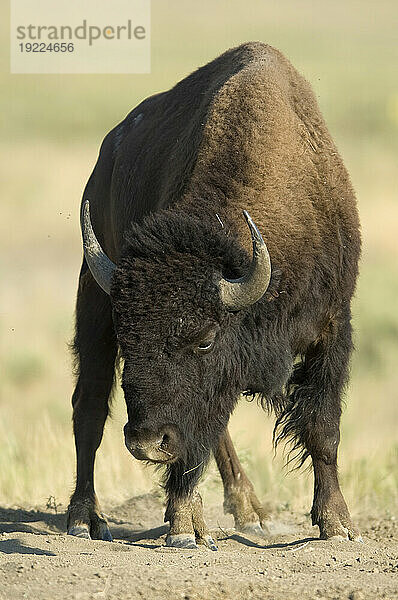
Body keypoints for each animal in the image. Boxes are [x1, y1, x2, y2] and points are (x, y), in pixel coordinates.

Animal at [67, 42, 360, 548]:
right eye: (131, 338)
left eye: (205, 339)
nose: (146, 443)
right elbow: (188, 444)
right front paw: (184, 527)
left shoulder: (331, 326)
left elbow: (323, 430)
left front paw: (337, 524)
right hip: (94, 300)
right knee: (89, 407)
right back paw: (85, 519)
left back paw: (250, 512)